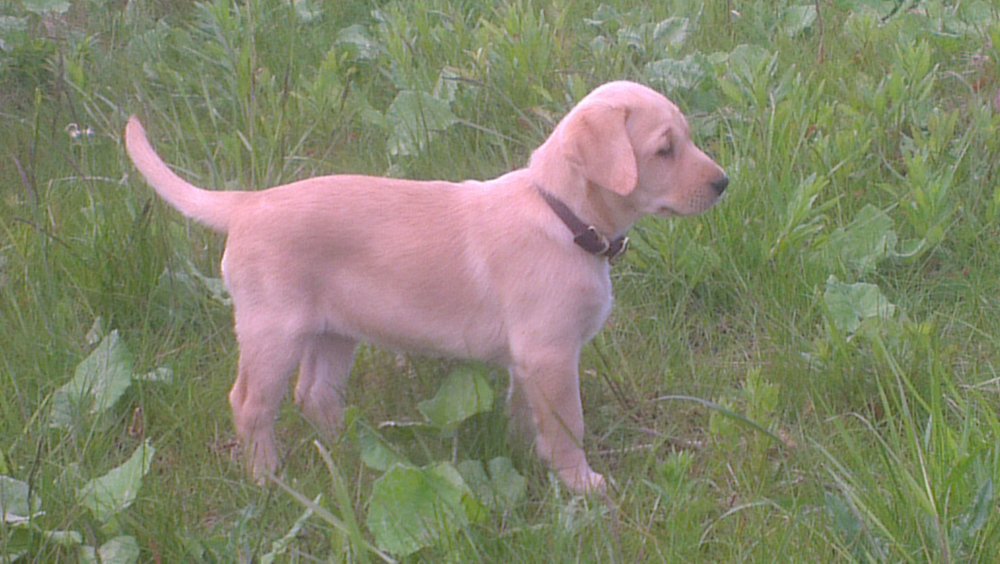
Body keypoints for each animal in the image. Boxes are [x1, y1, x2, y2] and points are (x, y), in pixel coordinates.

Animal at [125, 81, 728, 493]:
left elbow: (525, 412)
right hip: (273, 331)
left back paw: (359, 449)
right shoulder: (551, 355)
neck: (561, 214)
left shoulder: (528, 361)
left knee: (314, 394)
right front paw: (581, 484)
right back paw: (269, 478)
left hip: (334, 332)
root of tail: (247, 203)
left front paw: (522, 454)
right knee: (250, 404)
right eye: (665, 149)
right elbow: (566, 425)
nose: (723, 183)